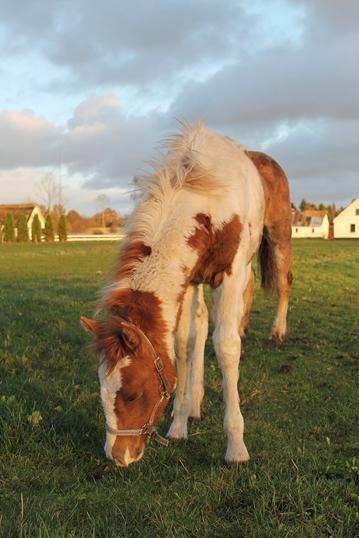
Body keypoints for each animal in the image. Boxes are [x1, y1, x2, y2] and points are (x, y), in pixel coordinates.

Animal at [81, 123, 292, 462]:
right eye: (102, 389)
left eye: (133, 394)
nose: (117, 456)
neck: (207, 198)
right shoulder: (189, 279)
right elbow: (184, 343)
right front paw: (179, 424)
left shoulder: (229, 275)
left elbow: (226, 346)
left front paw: (236, 446)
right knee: (207, 320)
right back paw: (196, 401)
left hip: (278, 235)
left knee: (282, 283)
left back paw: (277, 333)